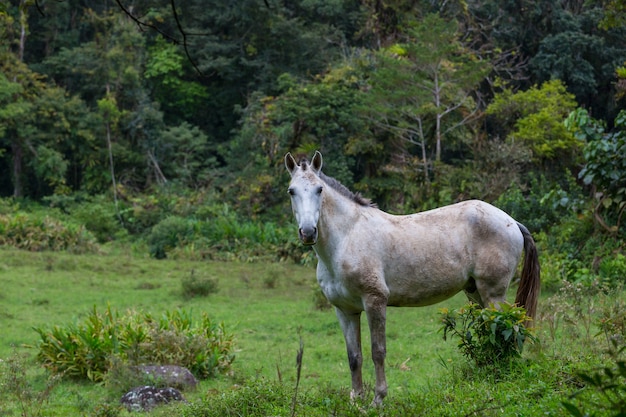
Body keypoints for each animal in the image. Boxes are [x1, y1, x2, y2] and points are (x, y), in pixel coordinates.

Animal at [286, 150, 540, 404]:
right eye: (291, 191)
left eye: (319, 189)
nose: (308, 232)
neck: (347, 237)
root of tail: (511, 222)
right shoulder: (345, 310)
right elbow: (354, 356)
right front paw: (356, 400)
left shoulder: (375, 301)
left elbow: (378, 352)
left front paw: (378, 399)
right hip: (475, 293)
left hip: (493, 294)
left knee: (507, 329)